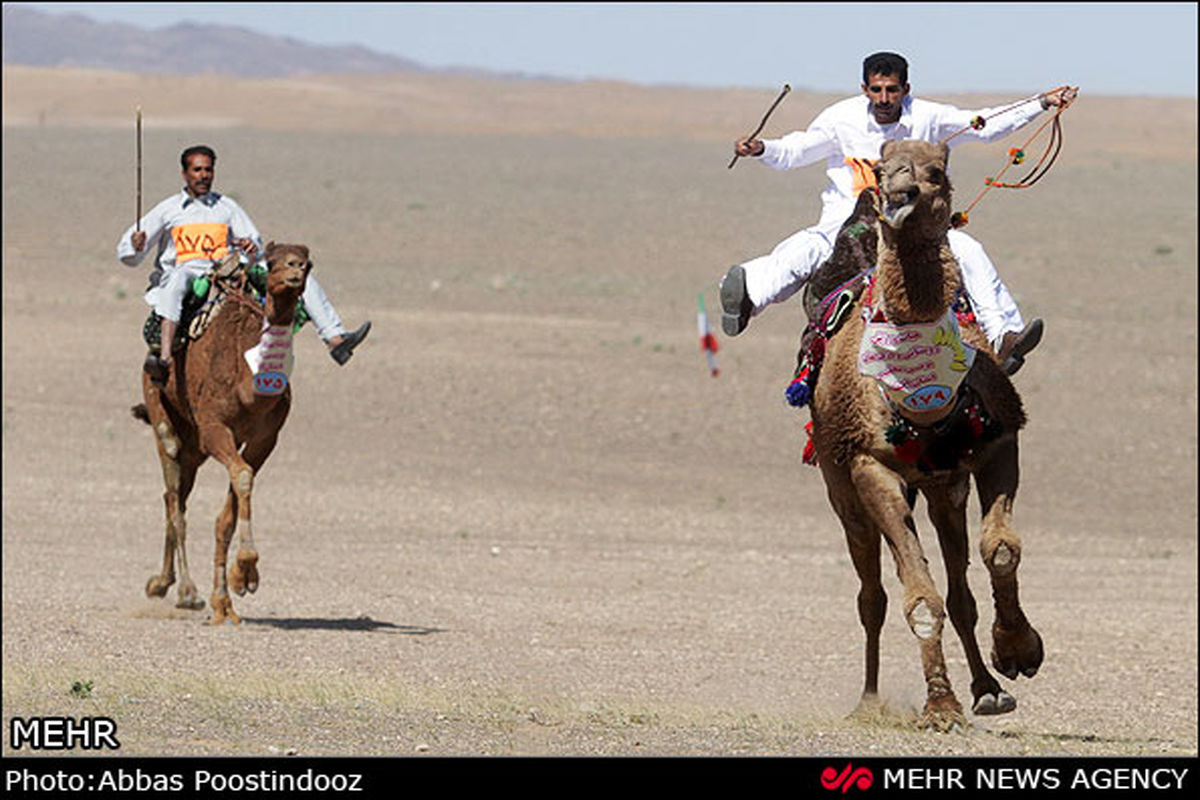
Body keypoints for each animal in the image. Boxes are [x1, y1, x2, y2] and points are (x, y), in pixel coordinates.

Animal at [131, 242, 312, 623]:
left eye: (309, 263)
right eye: (271, 260)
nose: (296, 268)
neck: (249, 383)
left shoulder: (264, 439)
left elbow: (230, 506)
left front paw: (228, 595)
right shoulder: (214, 428)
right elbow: (241, 477)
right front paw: (244, 570)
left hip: (194, 447)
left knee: (177, 495)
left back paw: (163, 583)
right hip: (161, 409)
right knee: (174, 496)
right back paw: (185, 591)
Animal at [811, 139, 1046, 734]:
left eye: (936, 171)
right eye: (884, 168)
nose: (897, 198)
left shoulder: (998, 443)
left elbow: (1000, 550)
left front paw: (1019, 651)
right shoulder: (870, 468)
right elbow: (918, 597)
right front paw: (940, 706)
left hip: (944, 488)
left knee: (960, 591)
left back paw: (987, 688)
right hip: (841, 486)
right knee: (872, 595)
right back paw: (870, 699)